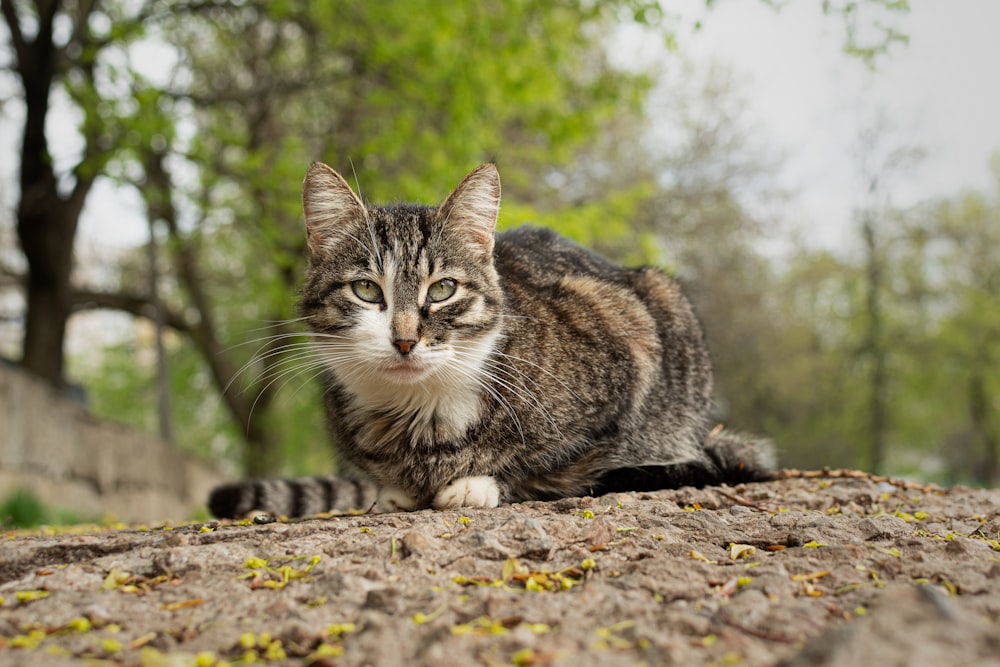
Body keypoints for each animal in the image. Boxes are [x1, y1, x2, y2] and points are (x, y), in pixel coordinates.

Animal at [209, 164, 772, 520]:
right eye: (367, 290)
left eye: (443, 289)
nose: (406, 339)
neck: (420, 421)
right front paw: (394, 491)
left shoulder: (625, 360)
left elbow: (544, 464)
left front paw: (477, 483)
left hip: (662, 304)